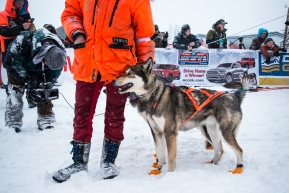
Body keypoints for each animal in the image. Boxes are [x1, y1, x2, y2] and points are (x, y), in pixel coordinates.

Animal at [113, 58, 246, 173]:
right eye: (125, 72)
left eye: (130, 74)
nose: (113, 81)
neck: (154, 95)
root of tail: (235, 96)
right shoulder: (157, 132)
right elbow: (160, 154)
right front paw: (158, 170)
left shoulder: (170, 132)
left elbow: (171, 158)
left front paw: (170, 175)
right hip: (210, 131)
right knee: (219, 150)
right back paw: (212, 163)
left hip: (224, 132)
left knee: (239, 150)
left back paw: (238, 168)